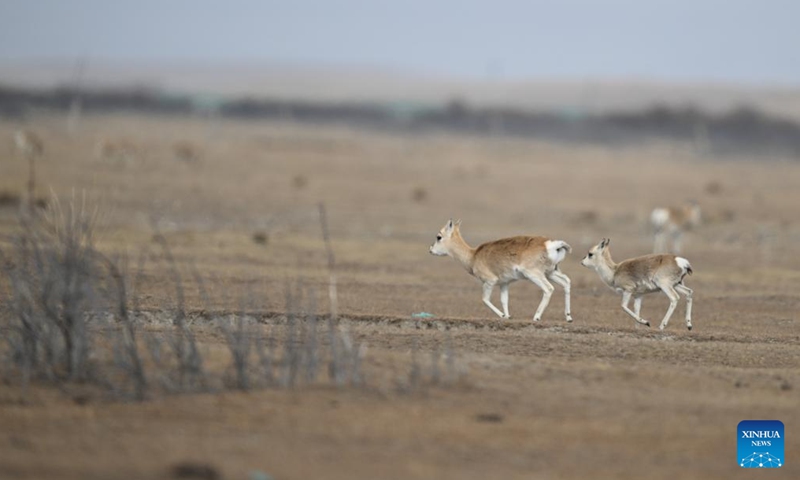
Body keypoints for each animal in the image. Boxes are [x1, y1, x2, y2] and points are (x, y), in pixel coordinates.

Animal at [429, 219, 573, 322]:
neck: (473, 256)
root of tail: (549, 244)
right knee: (566, 282)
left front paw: (503, 315)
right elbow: (504, 300)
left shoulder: (489, 282)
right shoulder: (504, 283)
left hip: (534, 275)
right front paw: (508, 316)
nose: (430, 250)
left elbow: (485, 299)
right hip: (550, 273)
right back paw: (568, 317)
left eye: (439, 237)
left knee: (548, 288)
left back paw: (536, 317)